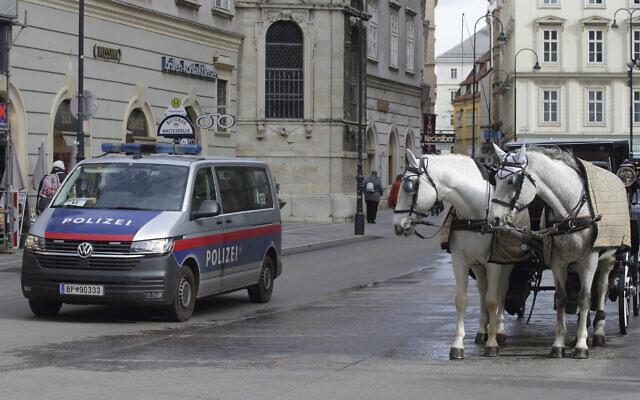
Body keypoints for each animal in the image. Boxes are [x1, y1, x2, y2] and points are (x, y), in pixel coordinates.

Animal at [392, 152, 512, 360]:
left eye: (409, 186)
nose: (397, 224)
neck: (477, 212)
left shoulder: (494, 264)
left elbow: (492, 300)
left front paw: (492, 342)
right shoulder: (461, 261)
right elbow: (461, 300)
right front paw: (457, 344)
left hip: (505, 264)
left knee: (501, 291)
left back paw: (499, 329)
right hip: (478, 266)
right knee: (482, 290)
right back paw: (482, 330)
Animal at [488, 145, 616, 360]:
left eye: (512, 181)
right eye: (495, 179)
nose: (494, 219)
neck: (570, 213)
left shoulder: (589, 260)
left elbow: (585, 298)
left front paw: (581, 345)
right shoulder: (558, 262)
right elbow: (561, 299)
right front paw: (559, 345)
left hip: (608, 259)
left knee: (600, 288)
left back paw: (598, 332)